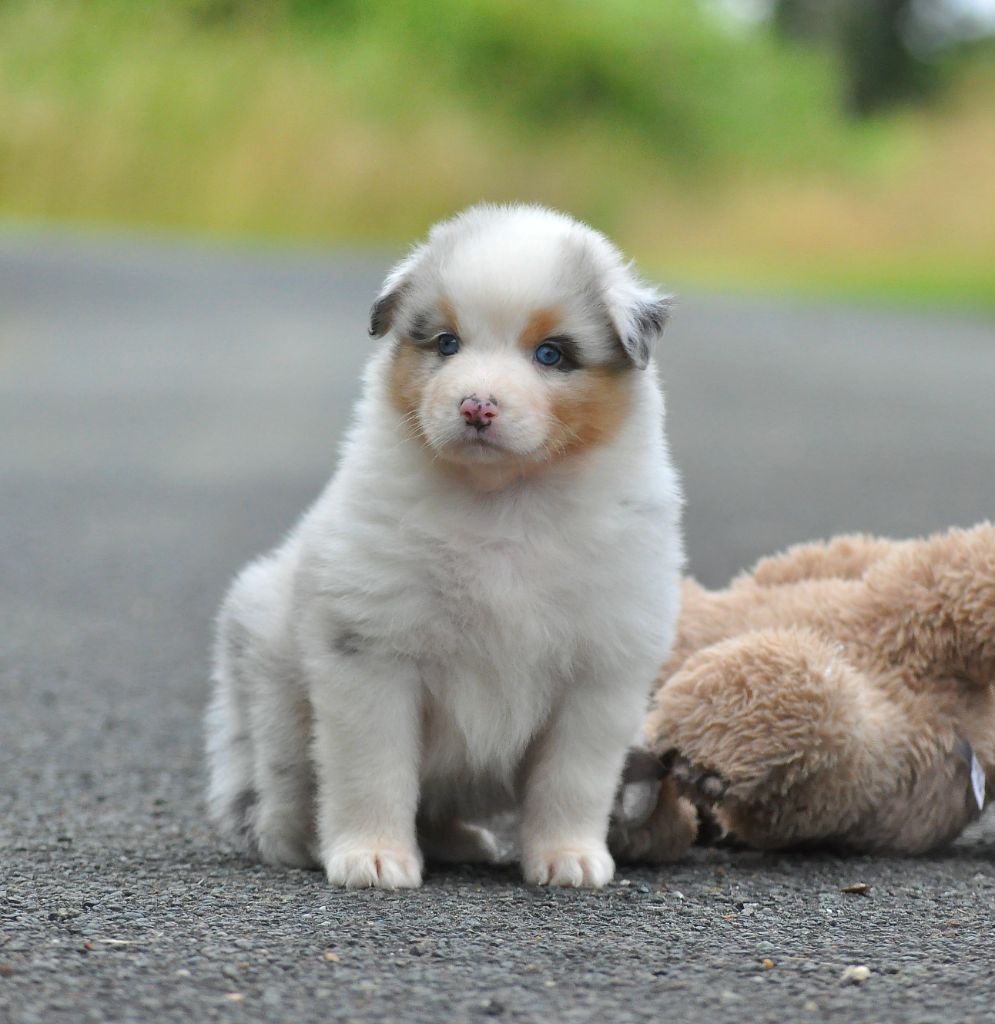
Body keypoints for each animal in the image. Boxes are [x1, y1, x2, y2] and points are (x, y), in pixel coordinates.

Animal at [201, 201, 683, 888]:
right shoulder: (372, 654)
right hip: (272, 686)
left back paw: (461, 840)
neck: (501, 501)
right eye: (447, 343)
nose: (477, 405)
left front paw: (569, 858)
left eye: (551, 354)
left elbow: (573, 779)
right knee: (286, 795)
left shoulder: (601, 671)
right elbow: (374, 770)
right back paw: (305, 842)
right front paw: (372, 857)